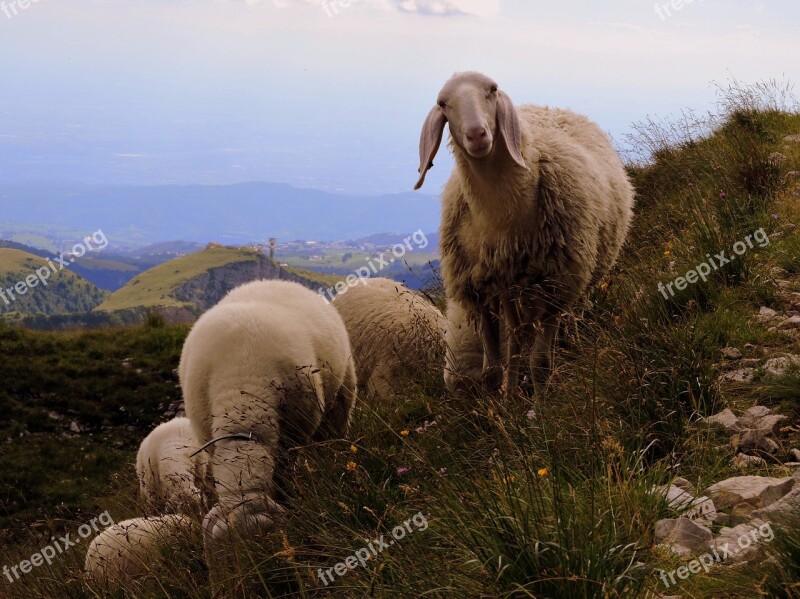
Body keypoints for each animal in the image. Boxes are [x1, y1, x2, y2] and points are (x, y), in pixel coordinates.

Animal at [416, 71, 636, 398]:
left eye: (492, 90)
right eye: (443, 103)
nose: (477, 134)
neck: (500, 217)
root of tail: (551, 108)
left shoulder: (556, 283)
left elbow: (540, 362)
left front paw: (543, 404)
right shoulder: (478, 286)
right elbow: (493, 368)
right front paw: (501, 403)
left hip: (577, 273)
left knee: (570, 312)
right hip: (511, 286)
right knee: (516, 336)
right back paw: (511, 390)